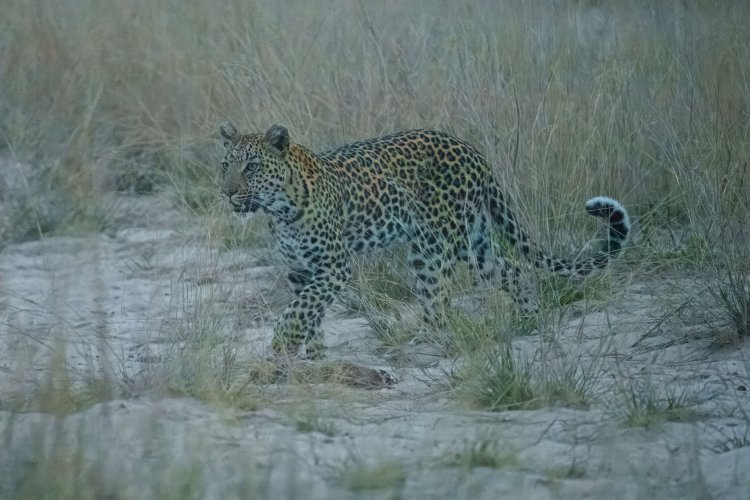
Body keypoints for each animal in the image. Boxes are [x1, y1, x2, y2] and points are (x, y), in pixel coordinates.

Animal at [220, 122, 632, 358]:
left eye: (252, 167)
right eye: (225, 165)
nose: (226, 192)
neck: (279, 209)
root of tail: (472, 150)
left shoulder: (333, 267)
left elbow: (302, 308)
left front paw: (282, 343)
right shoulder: (299, 270)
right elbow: (310, 310)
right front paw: (313, 353)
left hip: (432, 249)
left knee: (439, 304)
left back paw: (427, 345)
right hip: (474, 243)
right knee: (512, 270)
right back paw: (530, 321)